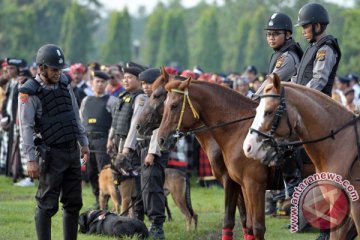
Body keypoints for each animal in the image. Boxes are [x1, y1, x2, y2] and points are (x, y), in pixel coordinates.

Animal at [157, 77, 290, 240]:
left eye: (174, 106)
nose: (161, 139)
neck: (238, 130)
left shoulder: (248, 184)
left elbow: (243, 224)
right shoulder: (242, 185)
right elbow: (246, 223)